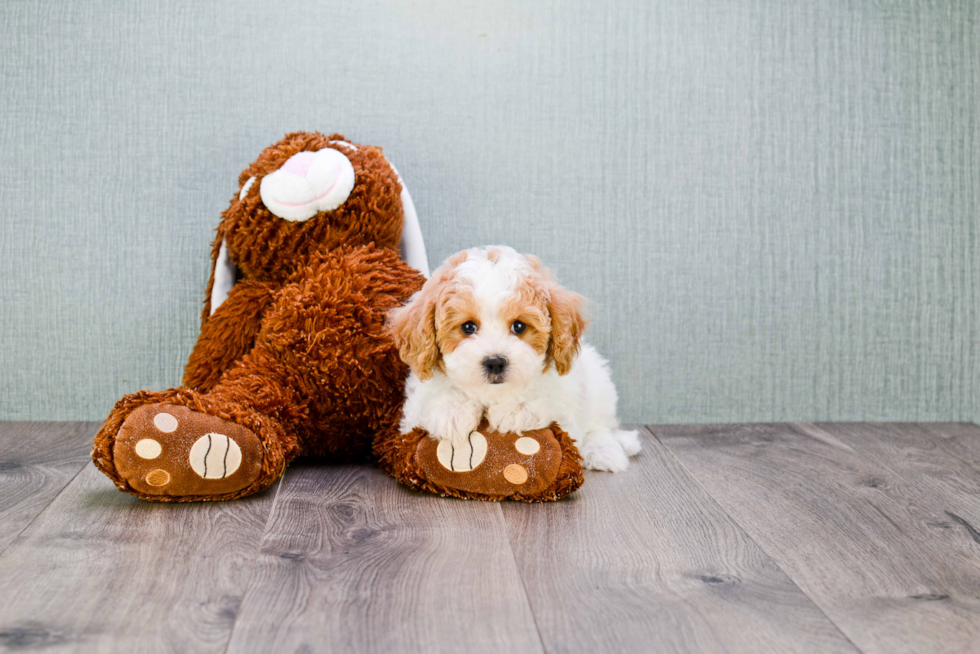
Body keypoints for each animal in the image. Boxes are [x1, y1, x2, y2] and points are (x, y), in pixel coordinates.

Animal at [386, 246, 640, 472]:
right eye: (468, 327)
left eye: (519, 326)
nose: (495, 361)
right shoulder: (413, 411)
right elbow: (435, 396)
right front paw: (452, 411)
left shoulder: (565, 395)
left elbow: (545, 398)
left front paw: (514, 409)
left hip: (599, 384)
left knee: (601, 426)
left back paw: (604, 451)